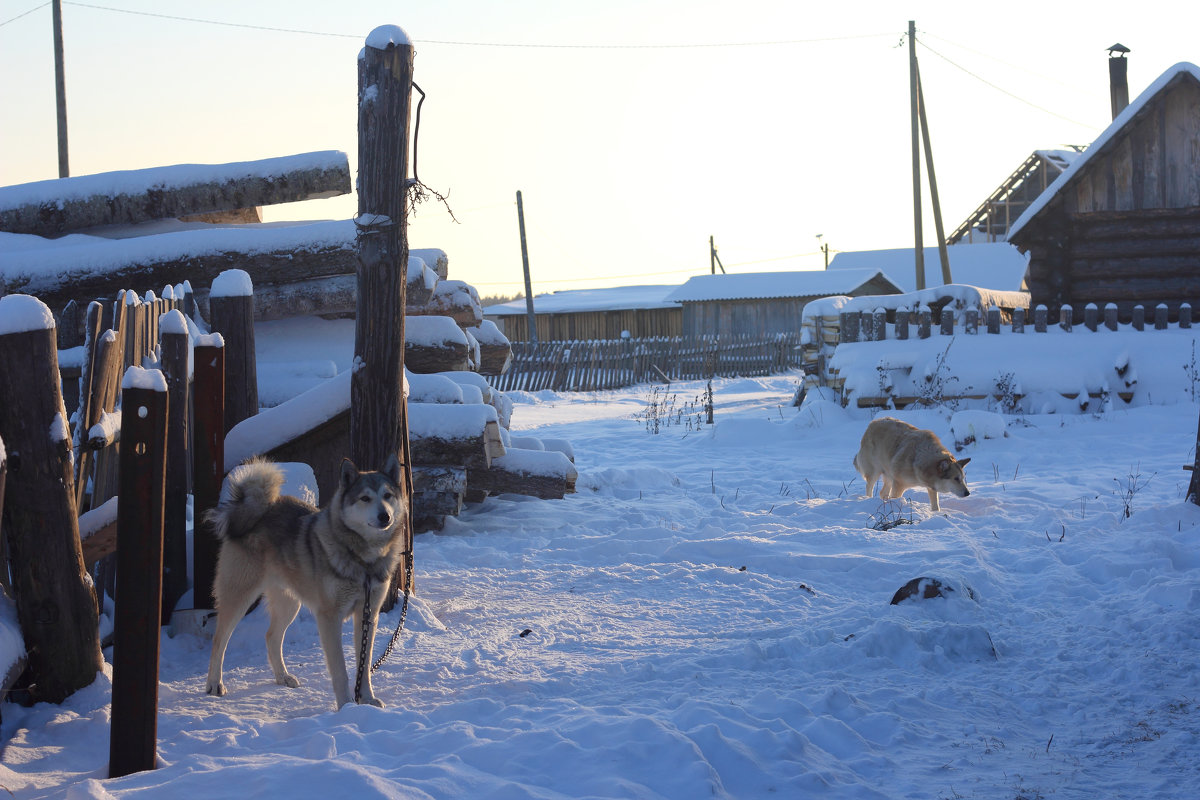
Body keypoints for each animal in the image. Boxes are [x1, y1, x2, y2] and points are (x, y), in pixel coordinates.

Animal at [206, 453, 408, 710]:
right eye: (365, 498)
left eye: (387, 495)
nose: (385, 516)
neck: (363, 560)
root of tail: (253, 508)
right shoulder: (329, 617)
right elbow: (340, 670)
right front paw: (345, 706)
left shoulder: (368, 615)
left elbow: (364, 668)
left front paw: (367, 699)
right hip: (239, 596)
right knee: (219, 640)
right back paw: (214, 684)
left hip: (289, 603)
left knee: (271, 637)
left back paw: (282, 677)